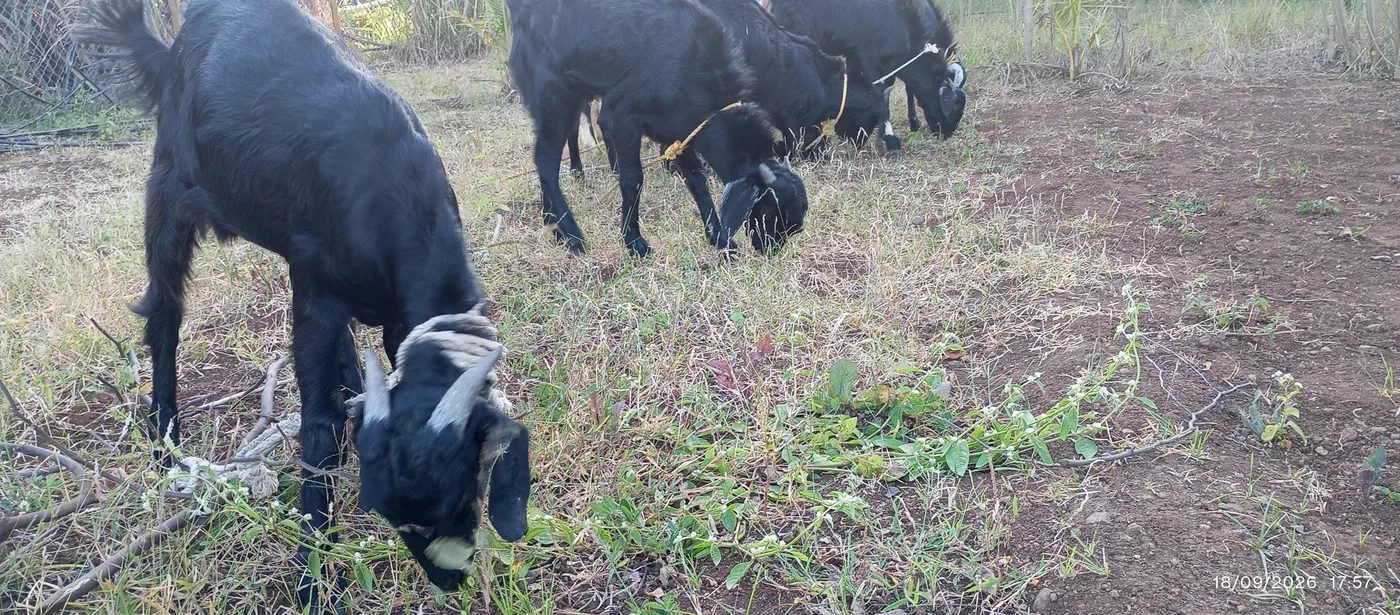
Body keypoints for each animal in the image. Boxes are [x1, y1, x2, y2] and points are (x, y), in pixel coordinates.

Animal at [77, 0, 530, 608]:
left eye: (469, 487)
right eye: (399, 510)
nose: (450, 579)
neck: (389, 188)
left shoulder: (389, 319)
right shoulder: (315, 296)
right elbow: (320, 425)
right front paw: (313, 580)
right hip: (168, 197)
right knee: (164, 316)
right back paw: (165, 445)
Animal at [508, 0, 809, 257]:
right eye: (769, 211)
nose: (768, 249)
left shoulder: (681, 130)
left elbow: (697, 180)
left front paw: (719, 238)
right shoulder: (623, 117)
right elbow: (632, 179)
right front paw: (635, 242)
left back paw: (553, 224)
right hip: (553, 96)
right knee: (546, 161)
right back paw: (572, 235)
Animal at [769, 0, 967, 140]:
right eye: (955, 106)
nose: (947, 134)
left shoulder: (856, 55)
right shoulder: (869, 57)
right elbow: (881, 89)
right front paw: (884, 134)